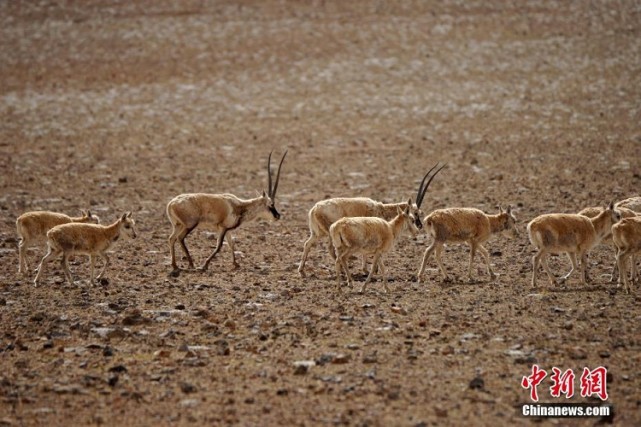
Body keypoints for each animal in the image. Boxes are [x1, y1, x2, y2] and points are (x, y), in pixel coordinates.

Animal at [296, 163, 442, 278]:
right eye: (415, 213)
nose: (419, 226)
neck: (381, 209)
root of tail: (314, 209)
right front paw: (369, 270)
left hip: (317, 233)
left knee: (308, 244)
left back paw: (302, 270)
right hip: (328, 234)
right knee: (331, 249)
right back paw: (343, 271)